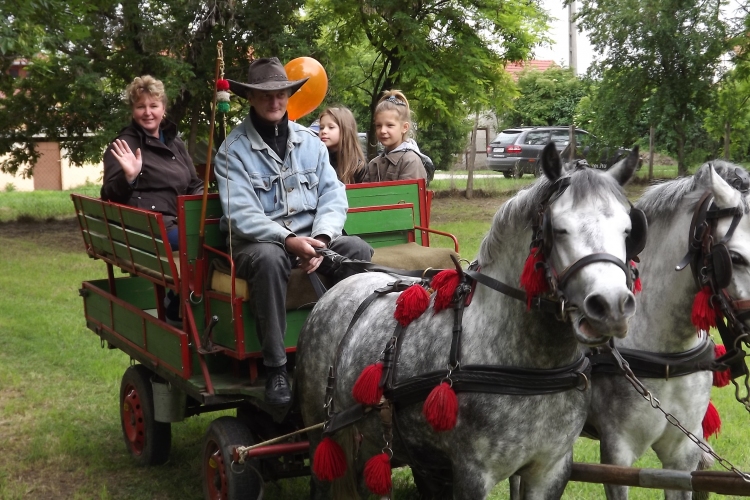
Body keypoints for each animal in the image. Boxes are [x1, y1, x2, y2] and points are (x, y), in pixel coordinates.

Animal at [296, 143, 644, 498]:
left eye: (628, 230)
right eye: (559, 229)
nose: (611, 306)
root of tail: (338, 286)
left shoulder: (550, 470)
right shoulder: (472, 472)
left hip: (377, 439)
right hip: (321, 429)